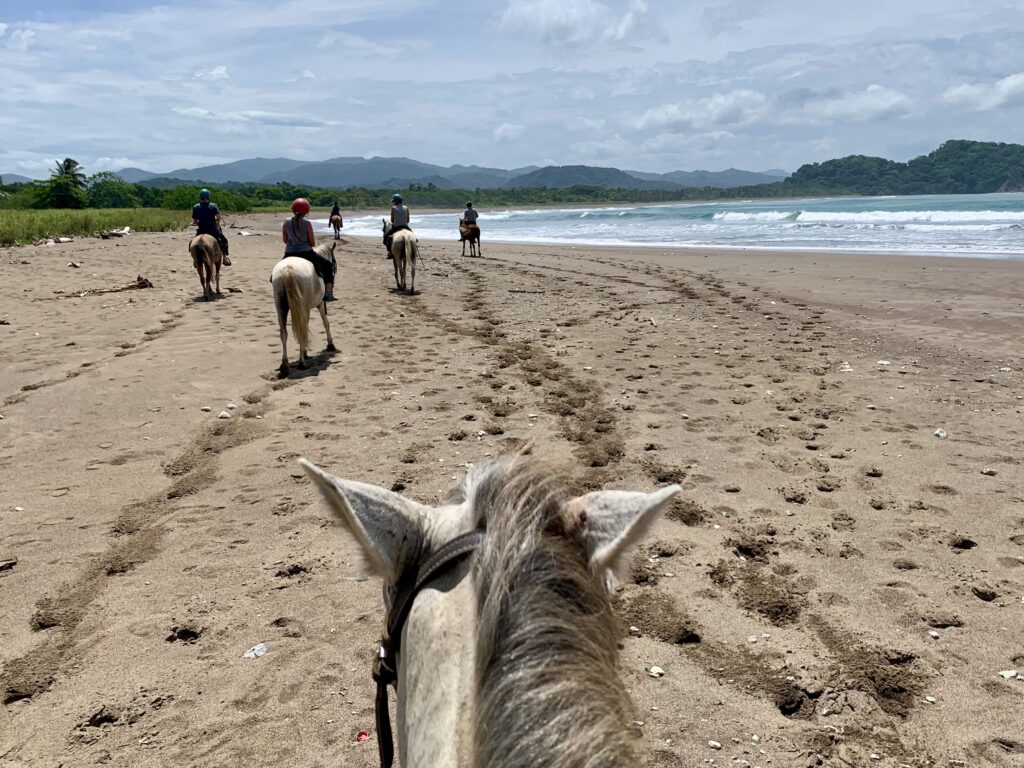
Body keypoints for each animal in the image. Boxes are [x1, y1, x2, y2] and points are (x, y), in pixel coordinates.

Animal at [270, 243, 337, 378]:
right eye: (333, 268)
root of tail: (288, 269)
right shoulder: (321, 304)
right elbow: (326, 323)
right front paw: (330, 344)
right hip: (303, 306)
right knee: (301, 329)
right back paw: (302, 363)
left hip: (281, 306)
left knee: (284, 332)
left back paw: (285, 366)